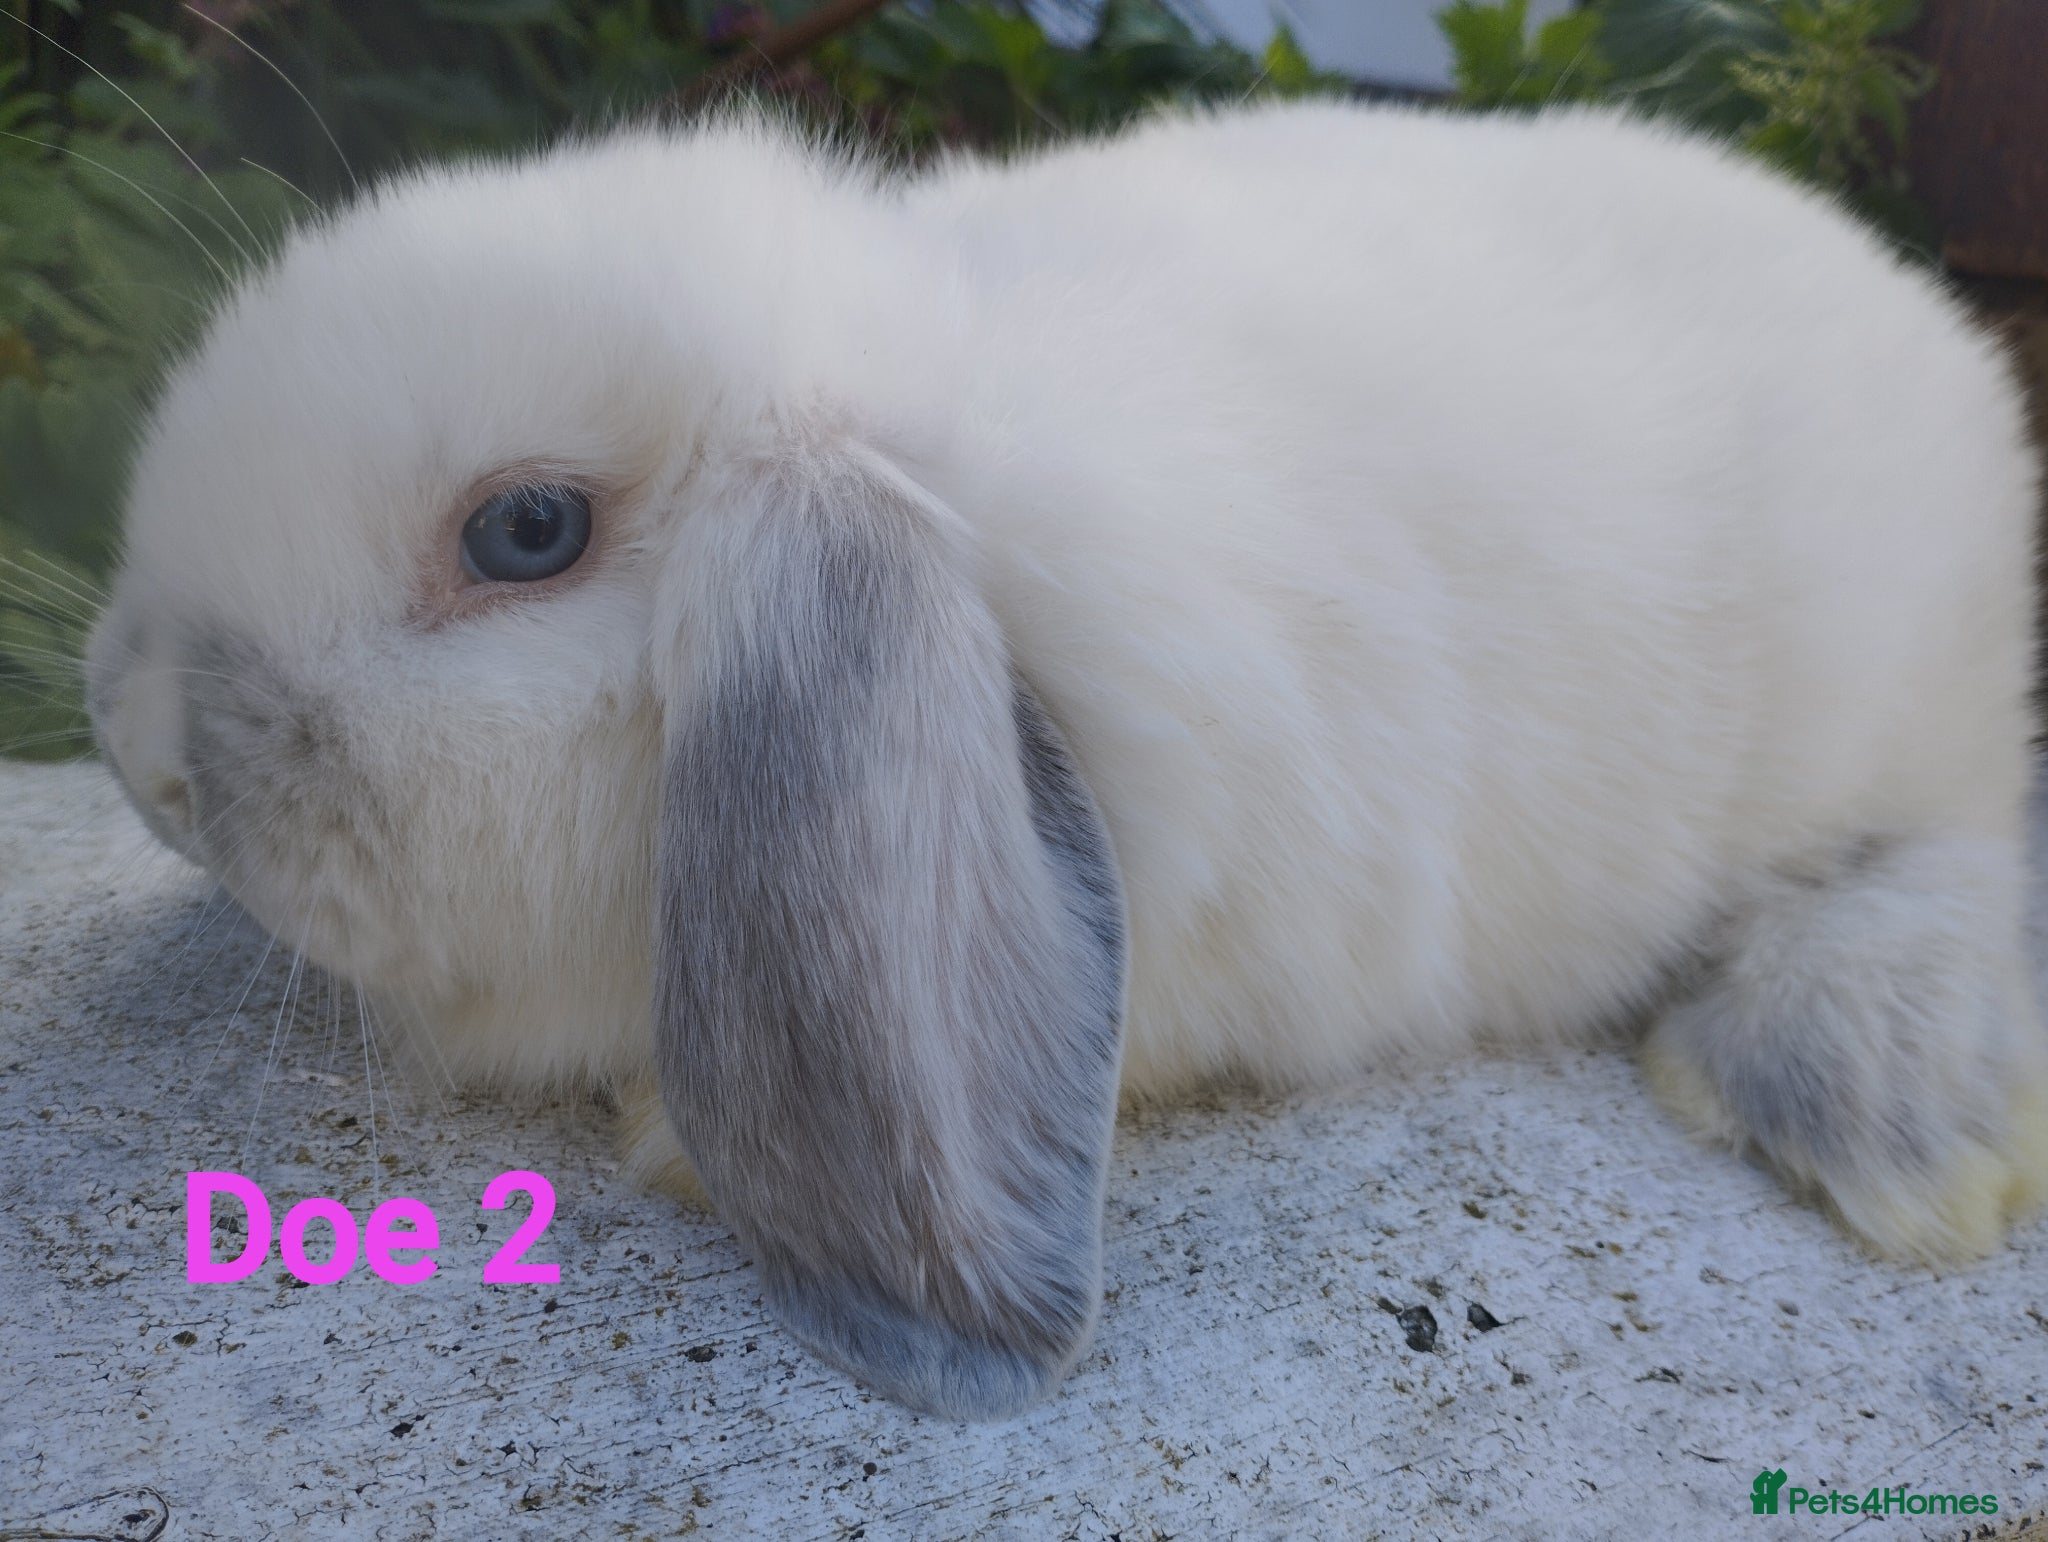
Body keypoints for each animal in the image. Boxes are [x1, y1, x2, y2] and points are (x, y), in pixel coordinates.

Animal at [84, 97, 2048, 1421]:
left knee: (1957, 837)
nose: (128, 730)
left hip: (1902, 712)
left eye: (526, 531)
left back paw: (1869, 1099)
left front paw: (670, 1139)